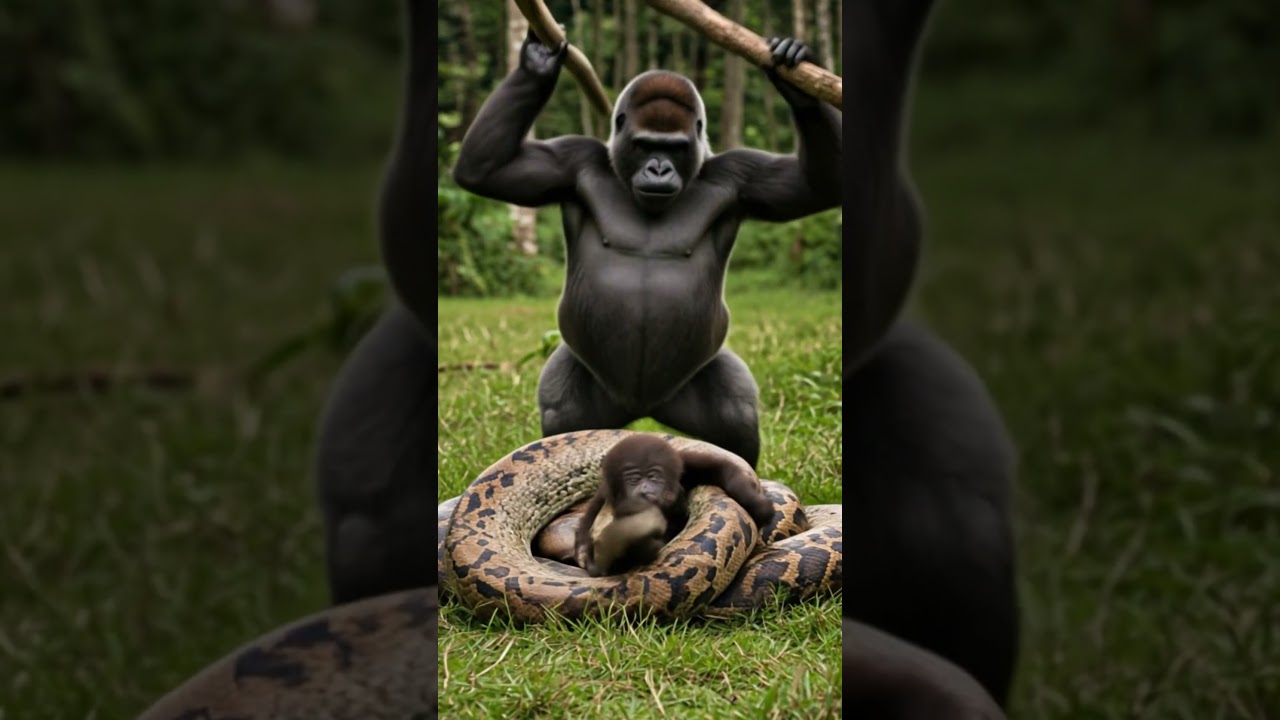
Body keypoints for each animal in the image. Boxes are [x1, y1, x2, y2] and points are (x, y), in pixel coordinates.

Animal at [451, 33, 841, 471]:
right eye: (645, 146)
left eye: (674, 148)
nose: (658, 169)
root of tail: (643, 407)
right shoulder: (569, 161)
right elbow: (484, 171)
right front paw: (538, 63)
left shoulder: (744, 174)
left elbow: (818, 184)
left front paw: (798, 80)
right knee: (564, 410)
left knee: (734, 411)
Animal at [574, 434, 776, 577]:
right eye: (633, 480)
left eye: (654, 476)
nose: (645, 490)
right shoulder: (606, 495)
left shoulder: (686, 464)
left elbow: (721, 468)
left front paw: (756, 503)